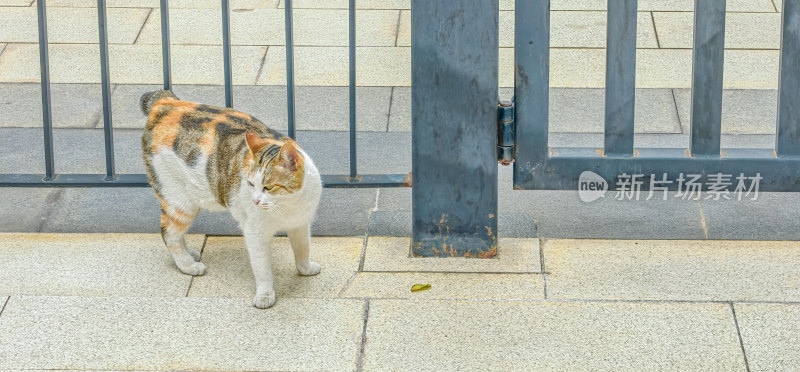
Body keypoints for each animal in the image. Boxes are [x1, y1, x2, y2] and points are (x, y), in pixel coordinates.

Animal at [141, 90, 322, 308]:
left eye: (268, 187)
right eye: (251, 184)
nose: (255, 201)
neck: (290, 205)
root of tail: (164, 103)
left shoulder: (300, 224)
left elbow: (303, 249)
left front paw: (306, 269)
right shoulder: (255, 234)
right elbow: (262, 268)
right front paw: (265, 295)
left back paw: (191, 254)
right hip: (179, 201)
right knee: (169, 234)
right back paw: (188, 265)